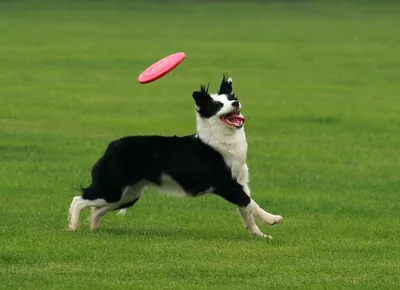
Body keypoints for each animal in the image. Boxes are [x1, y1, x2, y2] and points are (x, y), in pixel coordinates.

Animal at [67, 75, 282, 238]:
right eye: (218, 105)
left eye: (231, 99)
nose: (236, 103)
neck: (220, 140)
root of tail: (111, 146)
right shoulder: (225, 184)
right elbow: (248, 202)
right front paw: (272, 219)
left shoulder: (240, 182)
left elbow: (246, 210)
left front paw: (259, 235)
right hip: (112, 187)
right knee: (78, 199)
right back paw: (73, 227)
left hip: (127, 195)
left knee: (96, 209)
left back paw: (94, 228)